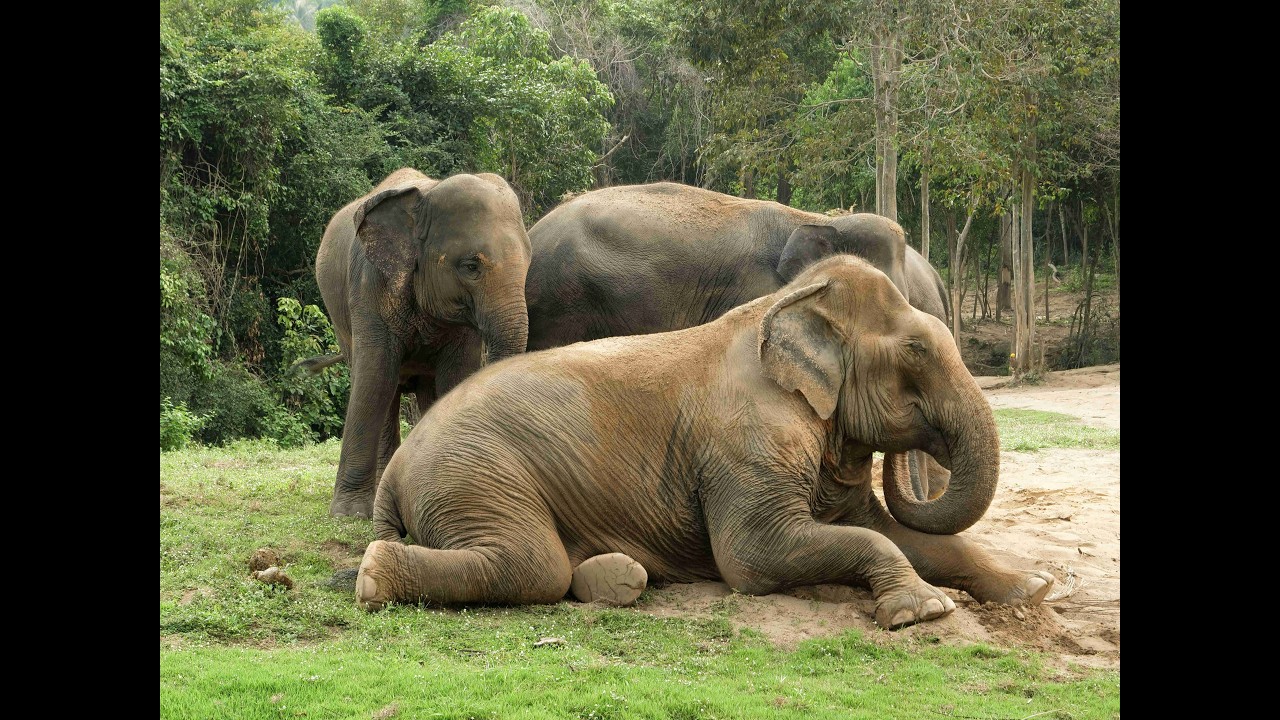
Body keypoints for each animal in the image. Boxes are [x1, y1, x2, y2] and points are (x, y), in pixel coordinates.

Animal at [314, 168, 531, 518]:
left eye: (529, 263)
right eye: (471, 266)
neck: (425, 196)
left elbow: (455, 378)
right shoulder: (369, 285)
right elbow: (374, 379)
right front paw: (349, 514)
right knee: (384, 388)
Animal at [354, 255, 1054, 628]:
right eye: (915, 351)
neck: (786, 304)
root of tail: (400, 466)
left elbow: (894, 532)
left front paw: (1033, 588)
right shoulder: (746, 443)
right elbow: (756, 556)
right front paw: (922, 612)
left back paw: (620, 580)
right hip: (474, 473)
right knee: (533, 563)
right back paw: (374, 575)